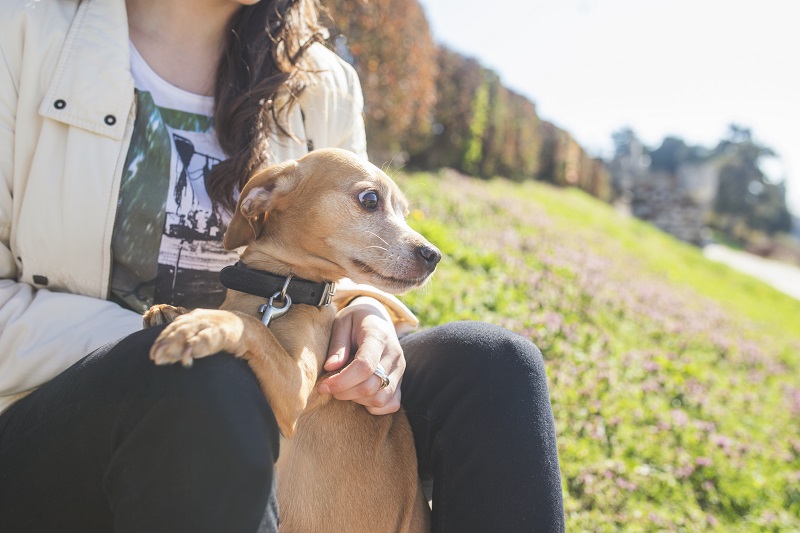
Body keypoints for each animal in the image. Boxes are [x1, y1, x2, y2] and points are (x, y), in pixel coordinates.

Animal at [147, 147, 440, 532]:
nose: (434, 255)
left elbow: (252, 326)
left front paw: (205, 323)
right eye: (370, 199)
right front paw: (168, 310)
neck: (279, 290)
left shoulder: (296, 392)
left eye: (404, 213)